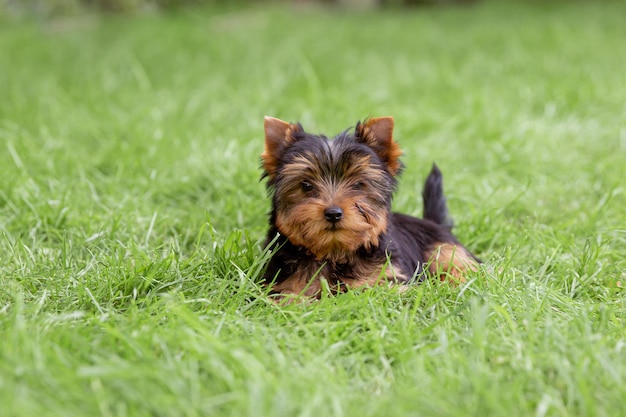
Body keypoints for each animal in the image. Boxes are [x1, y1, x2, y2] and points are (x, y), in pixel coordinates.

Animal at [258, 115, 478, 298]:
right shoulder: (285, 282)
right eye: (306, 185)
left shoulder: (386, 274)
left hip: (444, 249)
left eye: (358, 185)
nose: (333, 213)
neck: (334, 253)